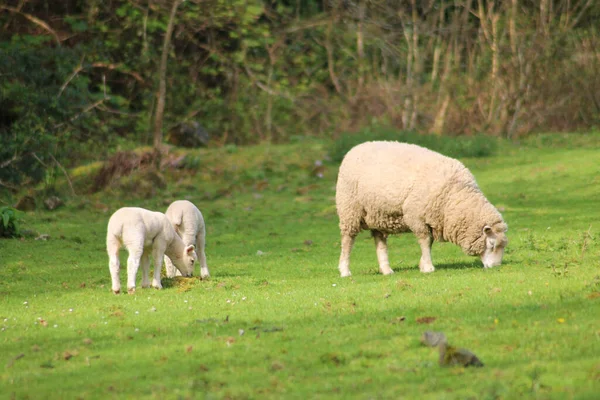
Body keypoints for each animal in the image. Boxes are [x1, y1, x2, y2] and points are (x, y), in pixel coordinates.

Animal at [336, 141, 508, 278]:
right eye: (491, 244)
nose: (496, 267)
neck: (455, 195)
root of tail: (356, 148)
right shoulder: (416, 216)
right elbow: (425, 241)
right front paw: (428, 267)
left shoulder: (430, 219)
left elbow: (429, 242)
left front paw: (423, 264)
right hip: (349, 209)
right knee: (347, 240)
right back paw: (345, 271)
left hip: (377, 214)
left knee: (380, 241)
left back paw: (386, 270)